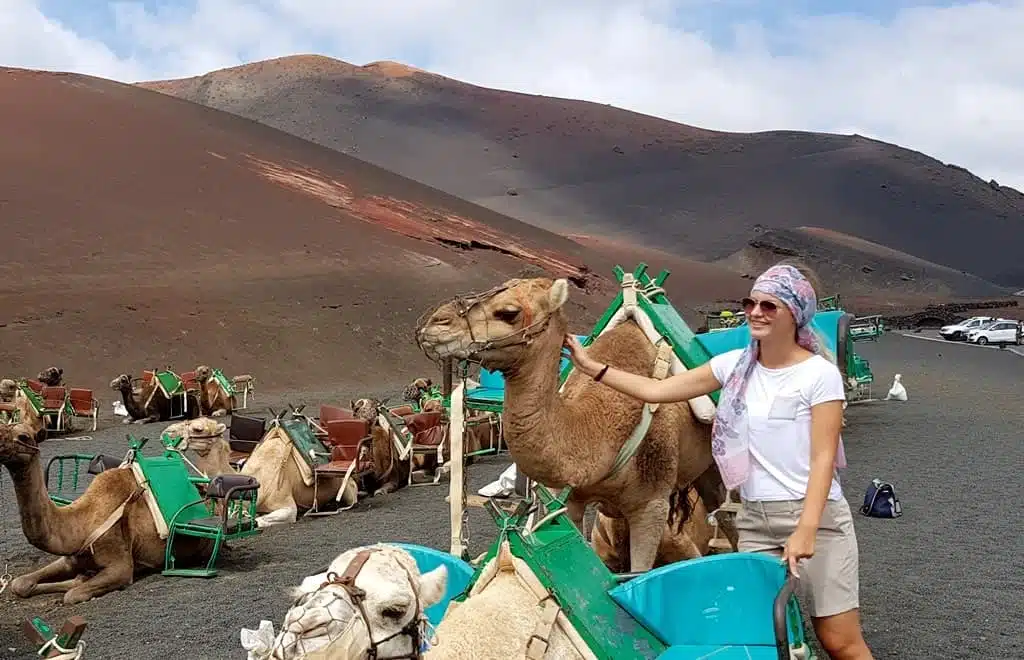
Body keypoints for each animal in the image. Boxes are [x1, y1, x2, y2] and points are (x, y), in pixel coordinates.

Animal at [0, 421, 210, 601]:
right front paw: (81, 577)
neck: (83, 522)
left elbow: (73, 595)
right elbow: (20, 583)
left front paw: (81, 580)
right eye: (1, 427)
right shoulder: (70, 558)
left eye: (24, 436)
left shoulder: (120, 566)